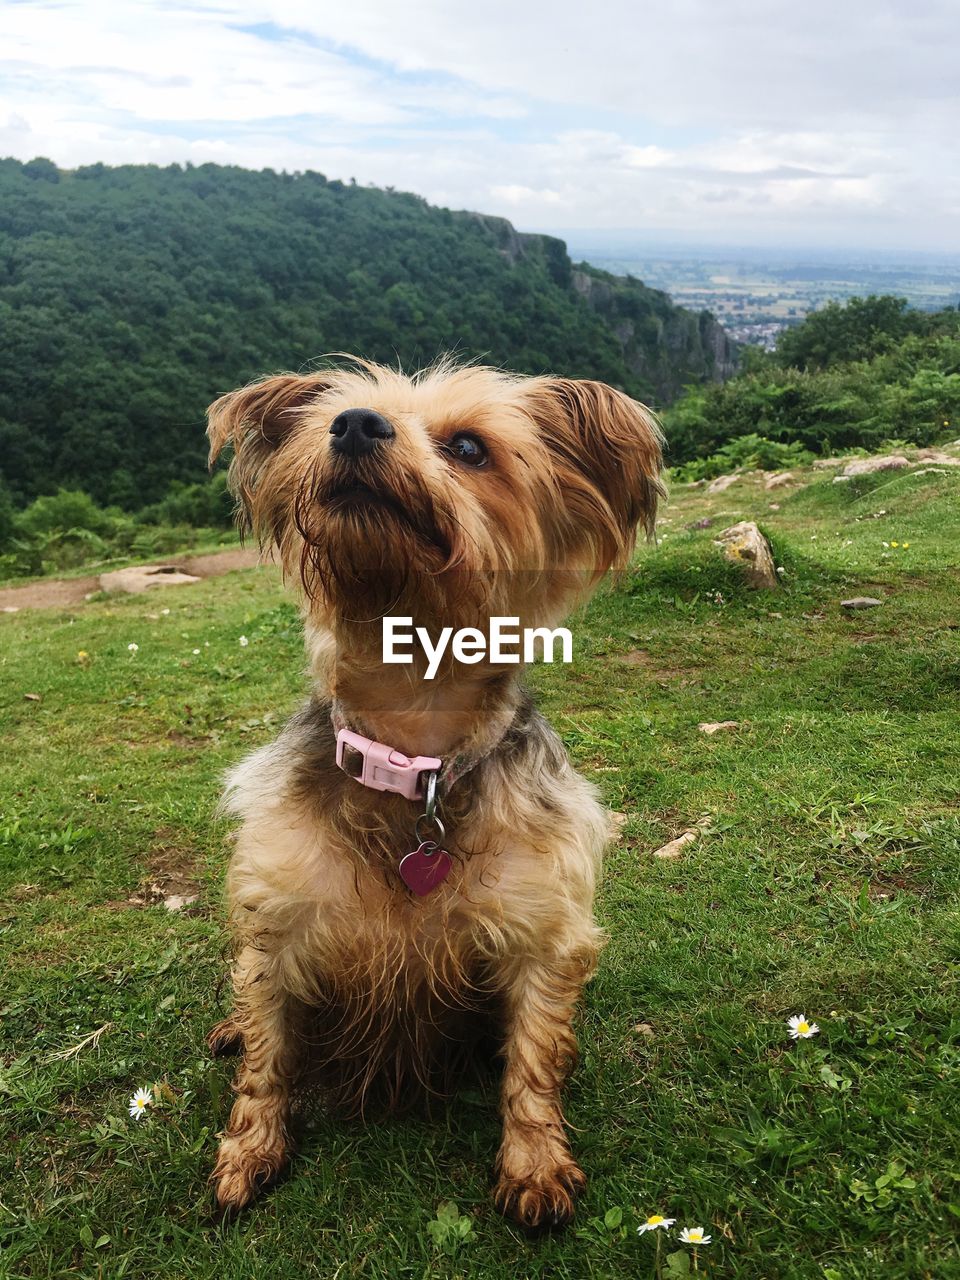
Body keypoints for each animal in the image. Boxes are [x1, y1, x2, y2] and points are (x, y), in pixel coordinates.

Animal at [207, 355, 665, 1223]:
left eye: (469, 447)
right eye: (336, 417)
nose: (353, 425)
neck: (409, 761)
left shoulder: (540, 929)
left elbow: (534, 1057)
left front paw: (534, 1162)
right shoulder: (277, 922)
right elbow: (268, 1054)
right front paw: (249, 1148)